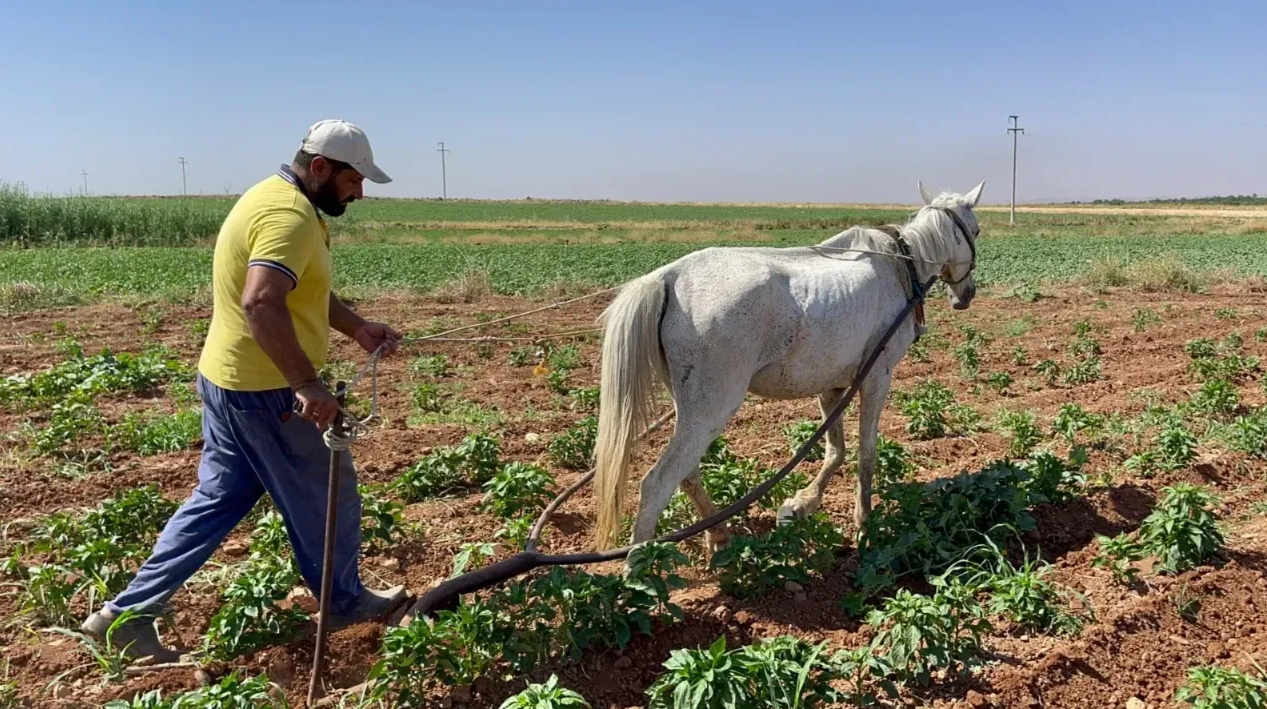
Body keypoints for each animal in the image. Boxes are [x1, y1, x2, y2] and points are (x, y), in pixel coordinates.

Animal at [592, 181, 988, 549]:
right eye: (977, 230)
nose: (965, 295)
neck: (900, 267)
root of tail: (669, 277)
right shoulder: (877, 377)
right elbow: (866, 453)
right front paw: (864, 523)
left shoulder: (833, 386)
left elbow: (835, 451)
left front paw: (800, 505)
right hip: (711, 409)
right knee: (657, 485)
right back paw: (642, 568)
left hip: (689, 409)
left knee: (688, 475)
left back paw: (719, 534)